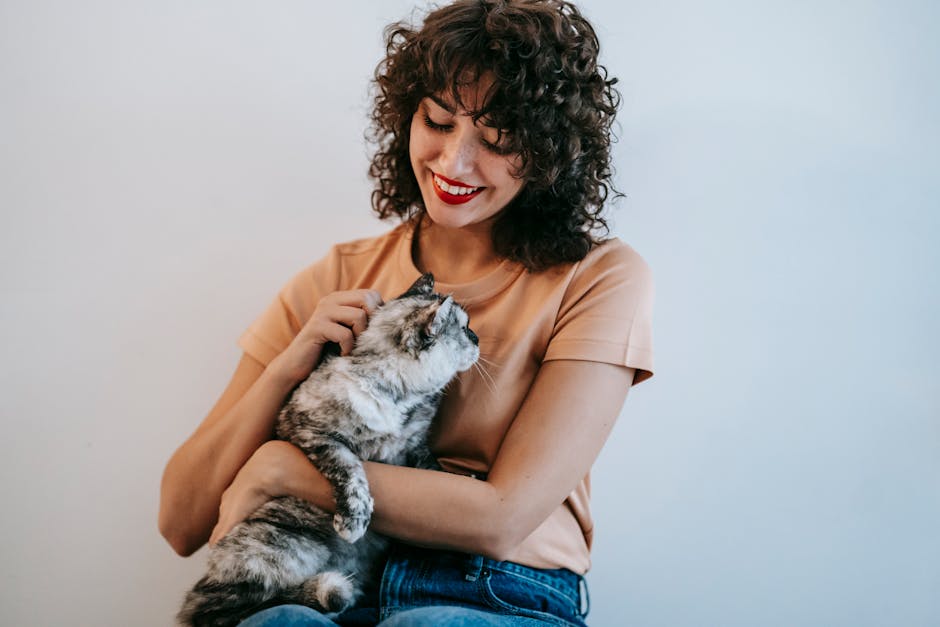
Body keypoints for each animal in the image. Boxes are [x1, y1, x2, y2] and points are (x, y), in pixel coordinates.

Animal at [178, 276, 478, 627]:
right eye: (464, 328)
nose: (478, 338)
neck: (395, 395)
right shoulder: (308, 430)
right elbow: (350, 470)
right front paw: (355, 519)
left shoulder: (415, 445)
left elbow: (432, 468)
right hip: (276, 547)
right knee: (223, 609)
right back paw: (324, 590)